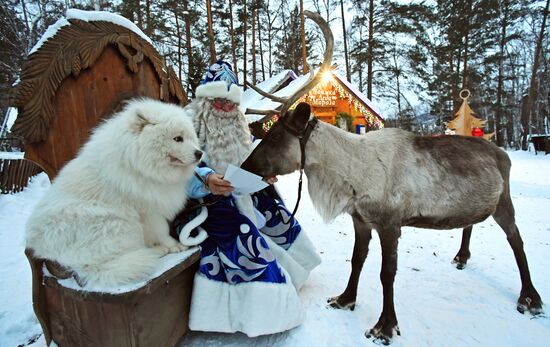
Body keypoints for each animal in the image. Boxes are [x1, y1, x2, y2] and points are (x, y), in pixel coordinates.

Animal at [25, 98, 203, 288]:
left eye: (191, 137)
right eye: (178, 139)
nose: (199, 153)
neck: (137, 164)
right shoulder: (148, 211)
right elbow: (162, 230)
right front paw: (174, 245)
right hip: (120, 222)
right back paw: (158, 250)